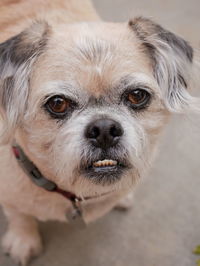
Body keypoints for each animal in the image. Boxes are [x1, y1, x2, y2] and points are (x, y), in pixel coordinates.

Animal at [0, 0, 198, 266]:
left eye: (137, 95)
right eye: (58, 104)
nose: (104, 129)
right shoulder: (10, 197)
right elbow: (19, 214)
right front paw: (23, 240)